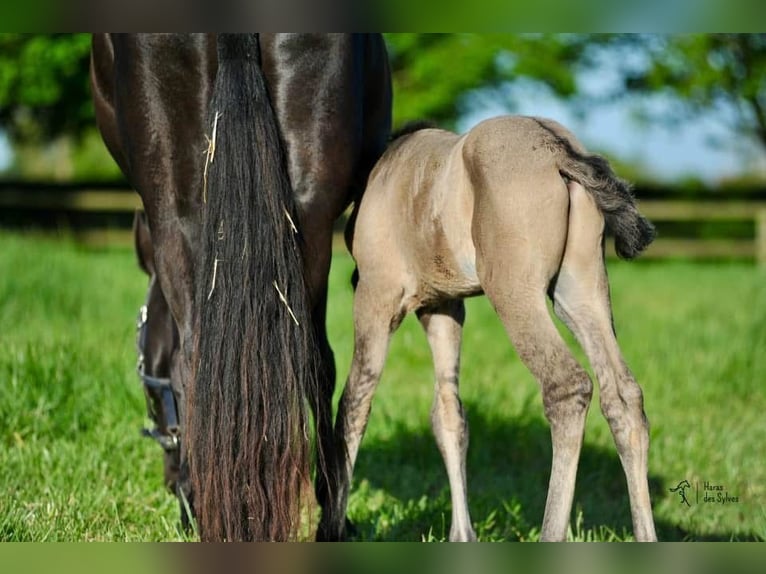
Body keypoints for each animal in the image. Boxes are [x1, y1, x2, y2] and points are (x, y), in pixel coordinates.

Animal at [91, 33, 392, 541]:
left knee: (195, 360)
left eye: (148, 391)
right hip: (302, 213)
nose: (167, 476)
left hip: (176, 211)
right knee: (311, 361)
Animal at [326, 116, 658, 541]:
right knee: (623, 395)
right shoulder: (443, 305)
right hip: (580, 290)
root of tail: (559, 151)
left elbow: (353, 403)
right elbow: (449, 414)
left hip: (514, 292)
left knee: (568, 386)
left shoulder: (377, 295)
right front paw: (462, 535)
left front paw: (333, 528)